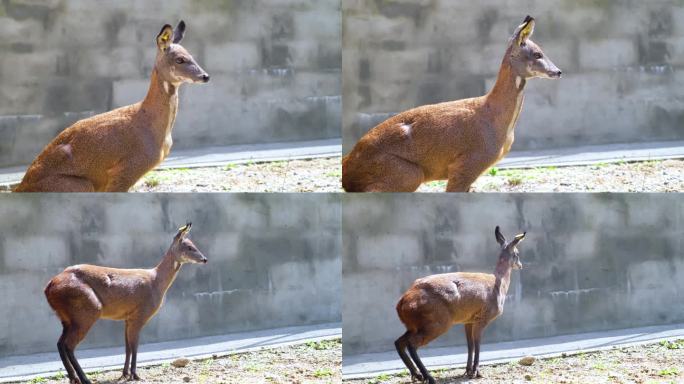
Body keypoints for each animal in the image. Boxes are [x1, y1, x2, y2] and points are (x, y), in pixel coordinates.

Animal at [14, 21, 210, 192]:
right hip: (79, 185)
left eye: (191, 56)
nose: (205, 76)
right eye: (180, 59)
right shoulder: (126, 168)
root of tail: (21, 187)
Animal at [44, 224, 207, 382]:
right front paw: (135, 375)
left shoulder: (127, 318)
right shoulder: (140, 314)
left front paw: (124, 374)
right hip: (87, 310)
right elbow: (135, 346)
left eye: (194, 244)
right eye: (189, 247)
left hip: (66, 318)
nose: (204, 259)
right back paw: (84, 379)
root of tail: (48, 287)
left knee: (60, 343)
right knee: (69, 345)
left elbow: (127, 347)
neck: (156, 282)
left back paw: (74, 378)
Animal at [342, 15, 560, 192]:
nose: (558, 71)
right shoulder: (466, 164)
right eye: (537, 54)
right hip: (408, 174)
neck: (496, 120)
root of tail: (347, 166)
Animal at [392, 226, 528, 382]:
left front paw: (468, 371)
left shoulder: (468, 320)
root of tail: (401, 303)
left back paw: (417, 375)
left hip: (414, 325)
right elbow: (477, 343)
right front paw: (476, 372)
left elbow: (470, 345)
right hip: (437, 322)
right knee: (411, 344)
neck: (500, 285)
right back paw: (428, 377)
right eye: (517, 253)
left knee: (399, 342)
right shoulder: (483, 317)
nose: (521, 265)